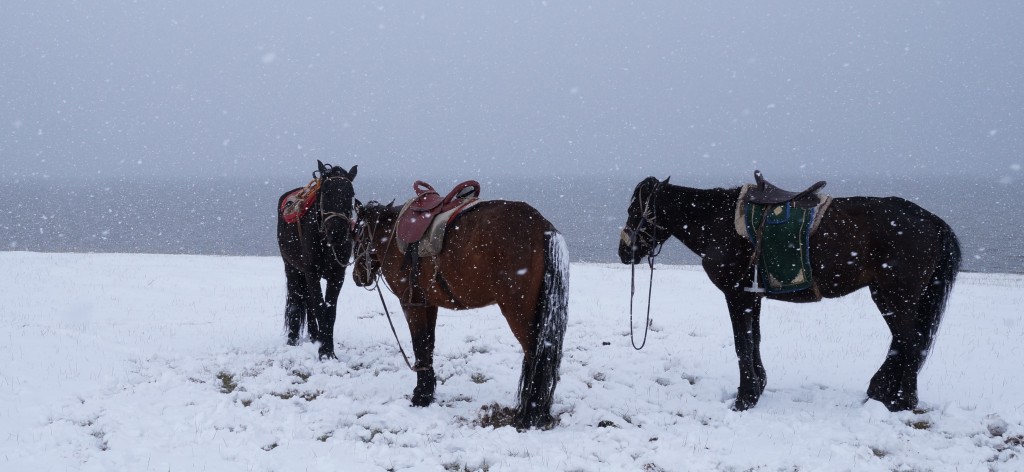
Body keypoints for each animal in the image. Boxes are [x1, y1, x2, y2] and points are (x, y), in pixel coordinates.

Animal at [278, 159, 358, 358]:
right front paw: (324, 351)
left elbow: (330, 310)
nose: (336, 232)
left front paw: (329, 349)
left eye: (351, 194)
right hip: (292, 268)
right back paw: (293, 340)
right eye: (327, 192)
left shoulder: (337, 275)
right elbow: (320, 307)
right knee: (296, 299)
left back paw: (315, 336)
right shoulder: (311, 272)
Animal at [352, 197, 569, 425]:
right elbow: (428, 345)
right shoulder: (428, 304)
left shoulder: (411, 304)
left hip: (518, 312)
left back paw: (530, 415)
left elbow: (419, 345)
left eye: (356, 235)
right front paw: (427, 392)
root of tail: (543, 227)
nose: (357, 276)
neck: (393, 236)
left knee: (535, 355)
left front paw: (420, 396)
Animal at [618, 175, 962, 409]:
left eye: (635, 210)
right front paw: (757, 388)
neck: (717, 222)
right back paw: (883, 392)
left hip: (895, 296)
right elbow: (754, 340)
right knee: (904, 342)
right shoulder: (752, 297)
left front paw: (745, 398)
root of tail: (933, 221)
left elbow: (742, 344)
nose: (624, 251)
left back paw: (901, 400)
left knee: (910, 341)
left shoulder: (737, 295)